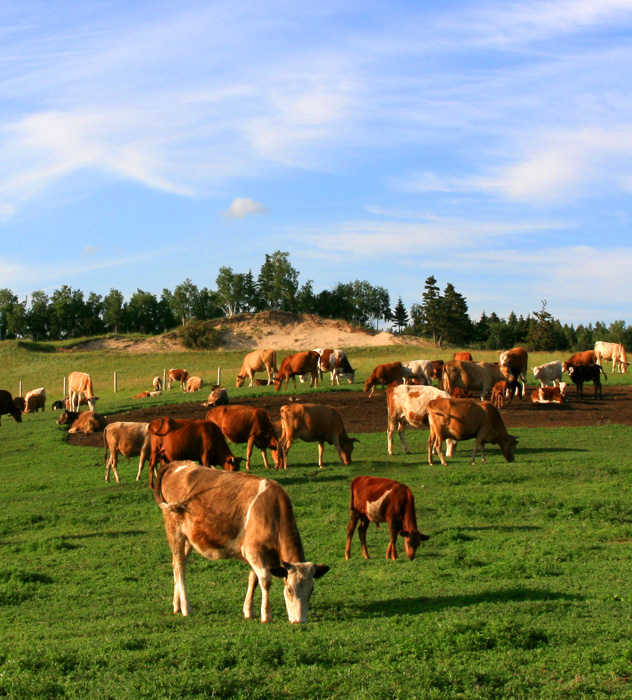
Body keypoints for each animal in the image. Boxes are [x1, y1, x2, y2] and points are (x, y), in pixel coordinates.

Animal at [154, 464, 330, 624]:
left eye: (311, 590)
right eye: (289, 590)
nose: (300, 621)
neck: (273, 512)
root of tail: (177, 464)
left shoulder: (258, 554)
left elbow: (253, 580)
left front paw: (248, 611)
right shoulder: (253, 551)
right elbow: (265, 580)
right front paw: (266, 615)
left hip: (188, 538)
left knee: (176, 564)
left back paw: (176, 605)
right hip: (174, 530)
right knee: (180, 567)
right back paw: (185, 607)